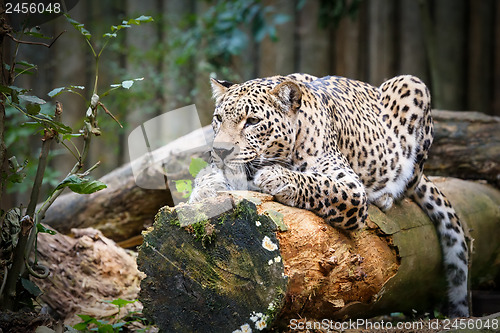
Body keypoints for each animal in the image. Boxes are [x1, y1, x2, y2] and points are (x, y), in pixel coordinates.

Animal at [189, 72, 470, 316]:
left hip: (412, 86)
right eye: (218, 118)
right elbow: (205, 175)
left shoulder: (351, 188)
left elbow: (318, 184)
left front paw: (276, 177)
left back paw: (386, 194)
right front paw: (204, 191)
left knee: (408, 181)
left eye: (253, 121)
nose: (220, 151)